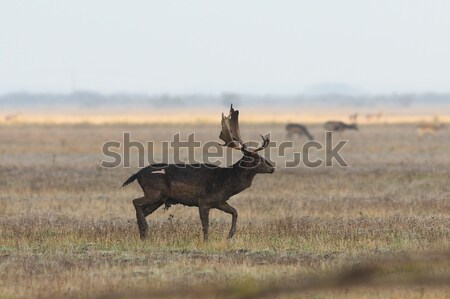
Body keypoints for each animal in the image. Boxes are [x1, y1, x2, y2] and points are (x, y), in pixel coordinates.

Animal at [121, 105, 274, 241]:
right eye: (256, 159)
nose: (272, 167)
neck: (226, 182)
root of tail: (137, 174)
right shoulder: (203, 201)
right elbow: (205, 225)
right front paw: (206, 241)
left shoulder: (219, 201)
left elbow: (235, 212)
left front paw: (230, 235)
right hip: (153, 192)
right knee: (135, 202)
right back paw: (145, 229)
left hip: (159, 198)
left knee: (142, 211)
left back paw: (143, 234)